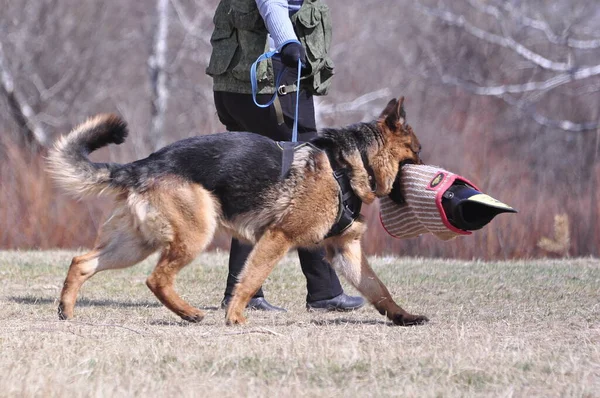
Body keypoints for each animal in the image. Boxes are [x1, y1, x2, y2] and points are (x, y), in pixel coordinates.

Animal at [49, 96, 428, 326]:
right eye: (417, 152)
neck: (349, 165)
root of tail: (144, 164)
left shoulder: (345, 250)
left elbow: (378, 288)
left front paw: (404, 317)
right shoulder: (277, 238)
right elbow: (250, 279)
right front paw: (234, 316)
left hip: (135, 245)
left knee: (82, 262)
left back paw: (66, 310)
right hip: (194, 235)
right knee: (156, 279)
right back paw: (190, 313)